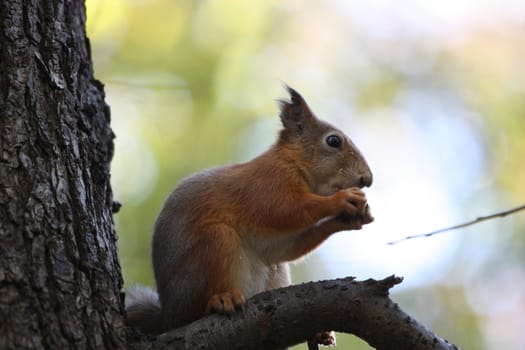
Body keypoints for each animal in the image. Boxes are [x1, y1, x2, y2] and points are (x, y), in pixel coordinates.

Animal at [125, 87, 374, 344]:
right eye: (333, 141)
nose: (368, 179)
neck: (292, 162)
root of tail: (166, 318)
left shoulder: (274, 242)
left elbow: (284, 249)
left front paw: (350, 219)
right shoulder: (266, 185)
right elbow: (286, 210)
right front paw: (341, 200)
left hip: (273, 271)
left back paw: (317, 332)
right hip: (212, 244)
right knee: (193, 312)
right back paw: (220, 300)